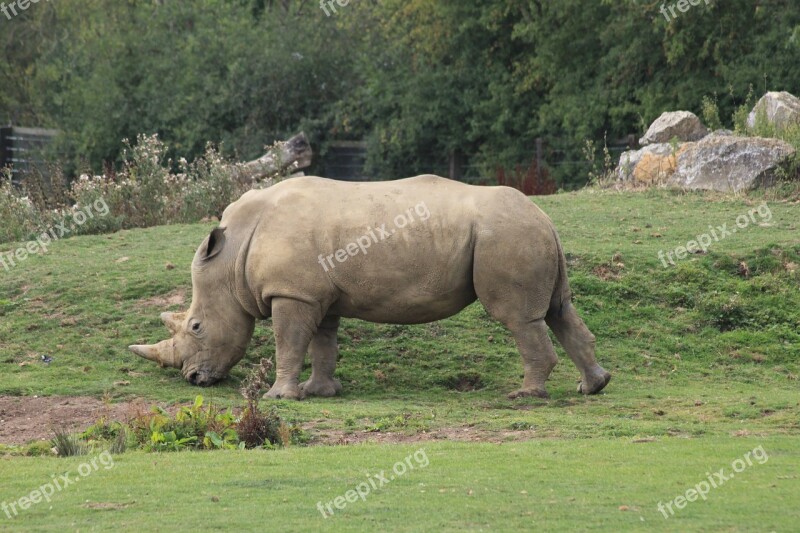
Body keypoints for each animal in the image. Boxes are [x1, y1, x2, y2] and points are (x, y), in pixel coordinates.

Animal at [130, 175, 612, 400]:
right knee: (559, 309)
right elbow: (322, 342)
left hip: (506, 235)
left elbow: (289, 342)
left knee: (518, 318)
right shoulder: (317, 294)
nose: (194, 379)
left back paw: (526, 395)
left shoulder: (291, 292)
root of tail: (545, 217)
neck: (232, 259)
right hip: (525, 233)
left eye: (195, 326)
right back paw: (592, 387)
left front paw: (280, 396)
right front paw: (320, 392)